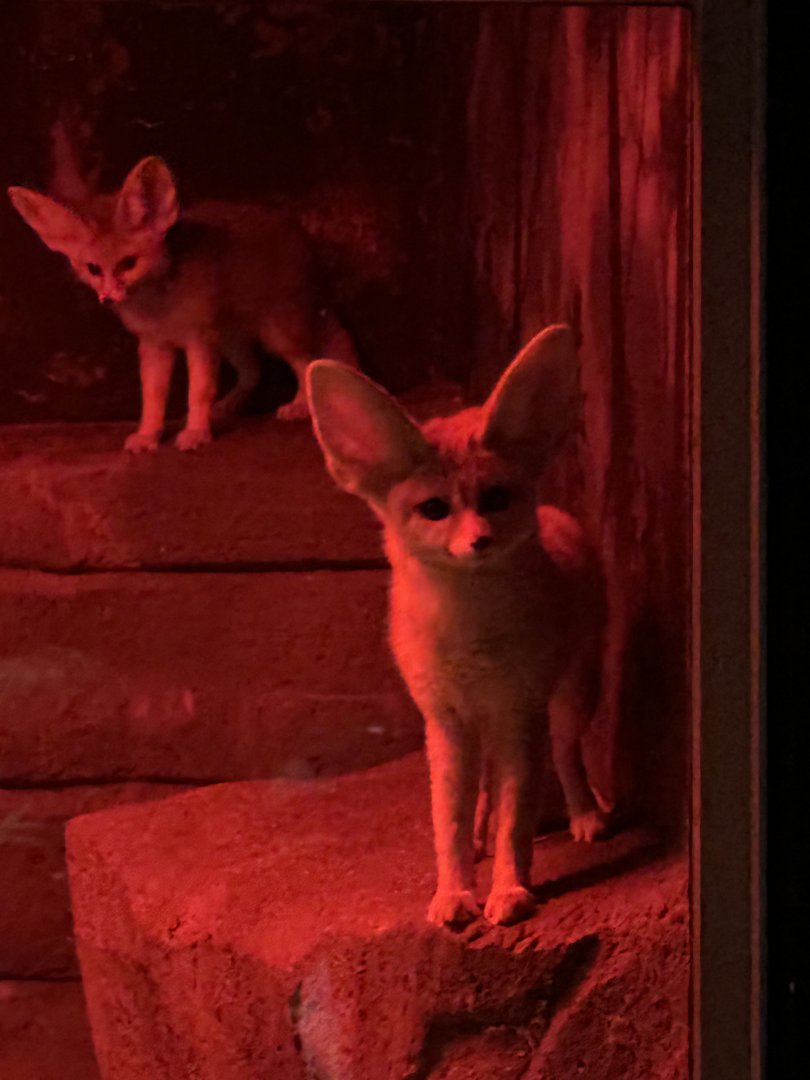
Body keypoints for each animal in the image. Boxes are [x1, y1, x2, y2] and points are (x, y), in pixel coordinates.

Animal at [8, 156, 356, 451]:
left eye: (128, 263)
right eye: (93, 269)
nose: (107, 297)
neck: (159, 309)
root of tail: (299, 233)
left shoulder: (197, 339)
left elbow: (198, 391)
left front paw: (196, 432)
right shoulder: (155, 345)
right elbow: (153, 398)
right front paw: (149, 434)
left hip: (277, 335)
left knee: (306, 362)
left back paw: (300, 406)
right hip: (230, 341)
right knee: (252, 372)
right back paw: (225, 409)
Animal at [306, 325, 609, 926]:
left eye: (496, 499)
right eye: (434, 509)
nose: (480, 541)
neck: (470, 635)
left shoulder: (520, 714)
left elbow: (518, 819)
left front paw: (509, 888)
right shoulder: (444, 721)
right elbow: (447, 819)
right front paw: (454, 890)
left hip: (570, 701)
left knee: (566, 756)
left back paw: (584, 814)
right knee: (486, 787)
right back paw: (478, 833)